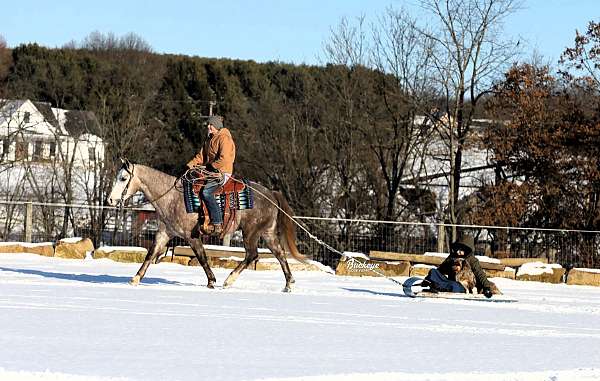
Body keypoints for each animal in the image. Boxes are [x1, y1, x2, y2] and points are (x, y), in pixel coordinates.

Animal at [105, 158, 308, 290]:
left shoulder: (191, 236)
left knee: (252, 255)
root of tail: (271, 193)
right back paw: (288, 284)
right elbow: (150, 255)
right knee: (279, 254)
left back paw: (229, 281)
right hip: (267, 232)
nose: (110, 200)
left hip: (251, 232)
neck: (172, 197)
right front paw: (135, 279)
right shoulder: (164, 233)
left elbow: (202, 257)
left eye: (123, 178)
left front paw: (212, 281)